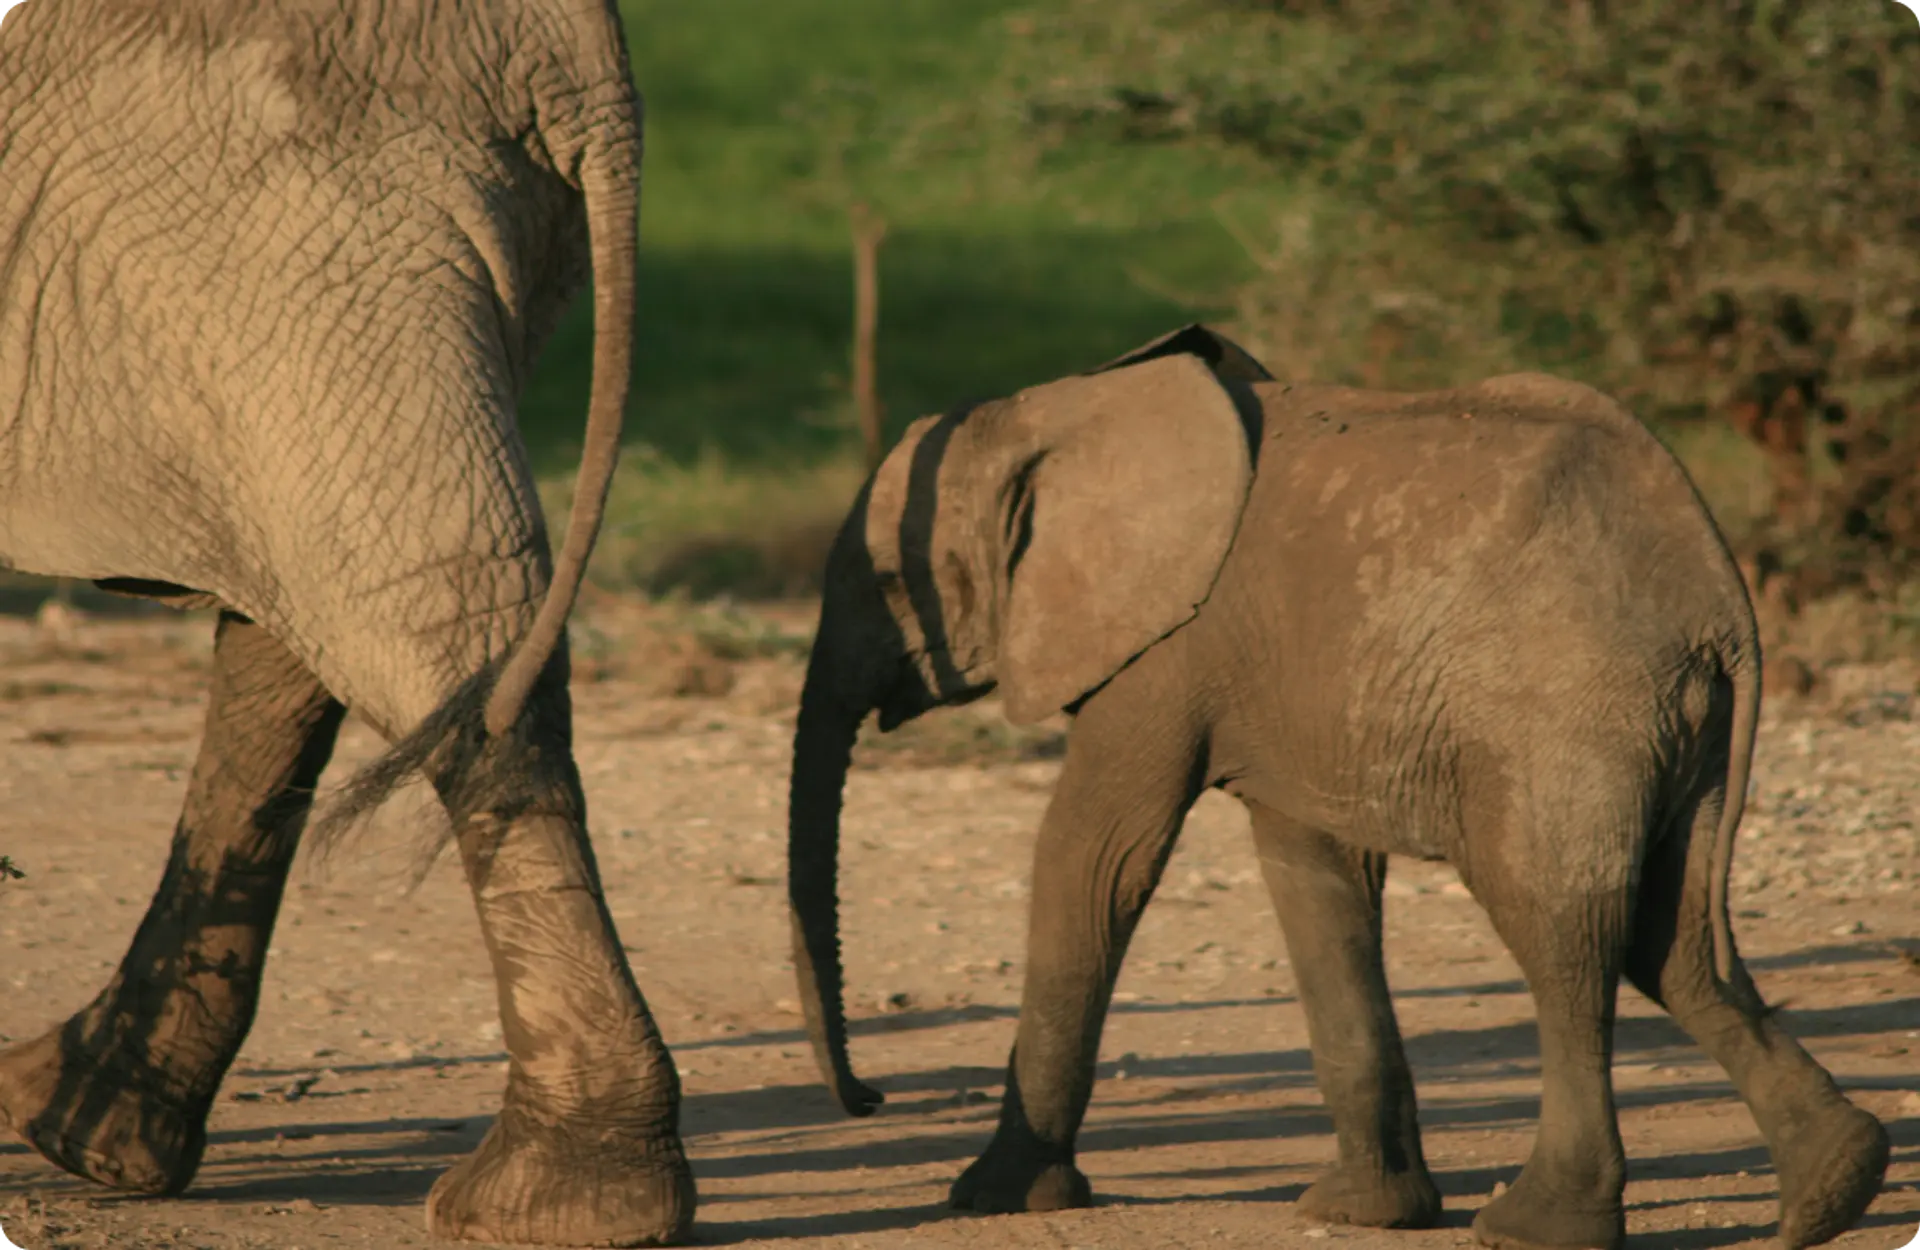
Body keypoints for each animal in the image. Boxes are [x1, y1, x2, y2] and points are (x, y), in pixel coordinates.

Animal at [0, 4, 691, 1244]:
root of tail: (580, 57)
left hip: (308, 221)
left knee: (404, 599)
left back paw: (561, 1203)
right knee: (327, 616)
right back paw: (92, 1134)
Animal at [783, 328, 1889, 1244]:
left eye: (891, 585)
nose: (870, 1100)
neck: (1062, 407)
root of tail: (1723, 601)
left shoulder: (1162, 650)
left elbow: (1096, 858)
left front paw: (992, 1195)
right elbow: (1314, 876)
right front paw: (1365, 1213)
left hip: (1569, 711)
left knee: (1567, 937)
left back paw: (1538, 1226)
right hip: (1678, 727)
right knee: (1678, 941)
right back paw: (1835, 1191)